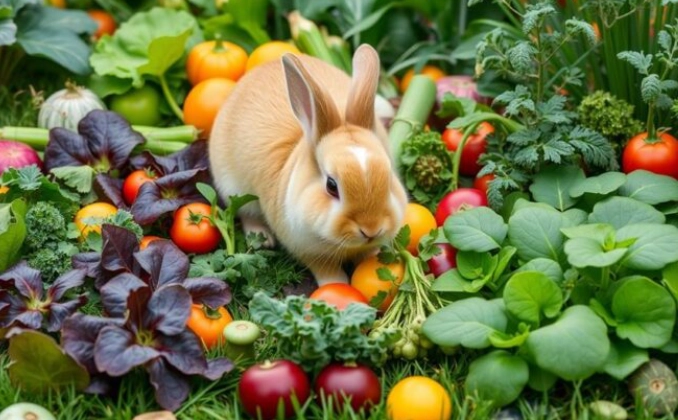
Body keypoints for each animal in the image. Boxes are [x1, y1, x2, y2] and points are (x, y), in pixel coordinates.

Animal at [208, 44, 408, 286]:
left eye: (389, 179)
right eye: (331, 186)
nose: (371, 229)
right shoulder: (307, 249)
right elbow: (325, 269)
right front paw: (336, 285)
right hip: (233, 186)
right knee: (245, 210)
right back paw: (263, 238)